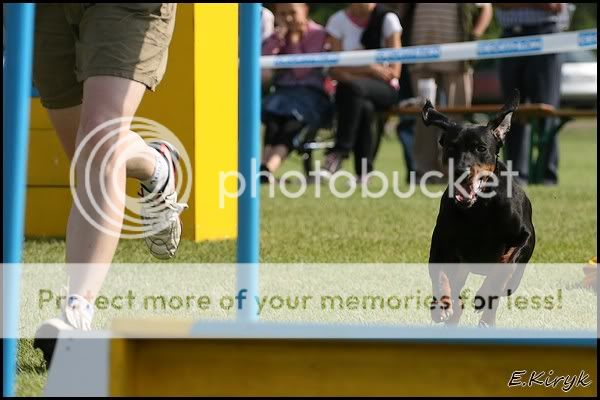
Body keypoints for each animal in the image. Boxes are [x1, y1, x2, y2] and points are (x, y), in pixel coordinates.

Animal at [422, 89, 535, 327]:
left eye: (481, 148)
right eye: (451, 147)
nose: (461, 170)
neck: (479, 207)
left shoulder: (526, 237)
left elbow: (504, 267)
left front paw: (485, 293)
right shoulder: (441, 245)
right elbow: (440, 275)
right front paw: (442, 304)